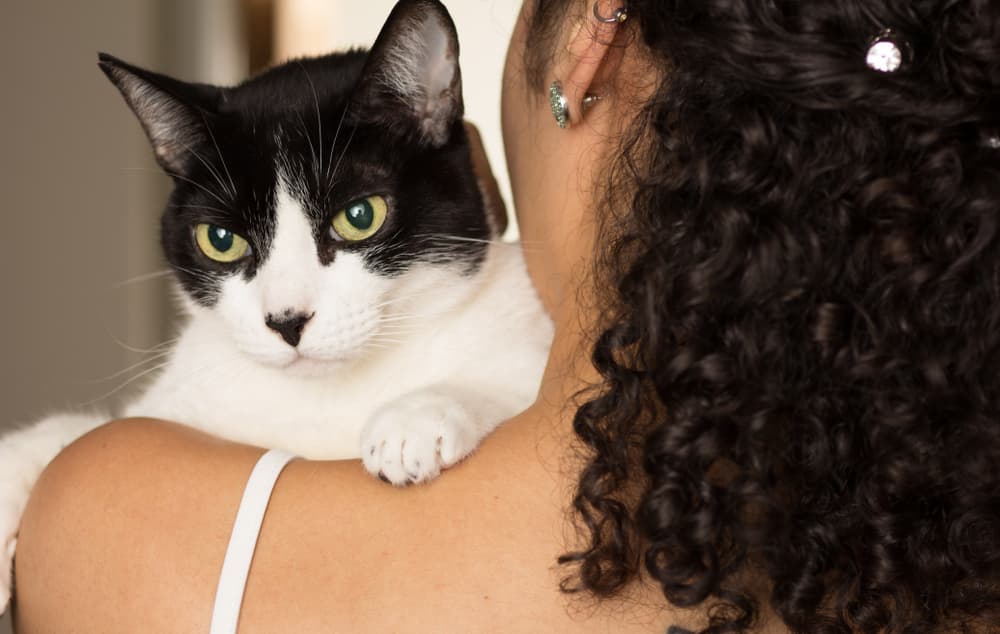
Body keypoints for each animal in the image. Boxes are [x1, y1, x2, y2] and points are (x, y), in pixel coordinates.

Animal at [0, 0, 552, 612]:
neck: (323, 400)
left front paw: (415, 418)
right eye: (221, 239)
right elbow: (78, 431)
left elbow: (525, 377)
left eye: (360, 216)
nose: (287, 321)